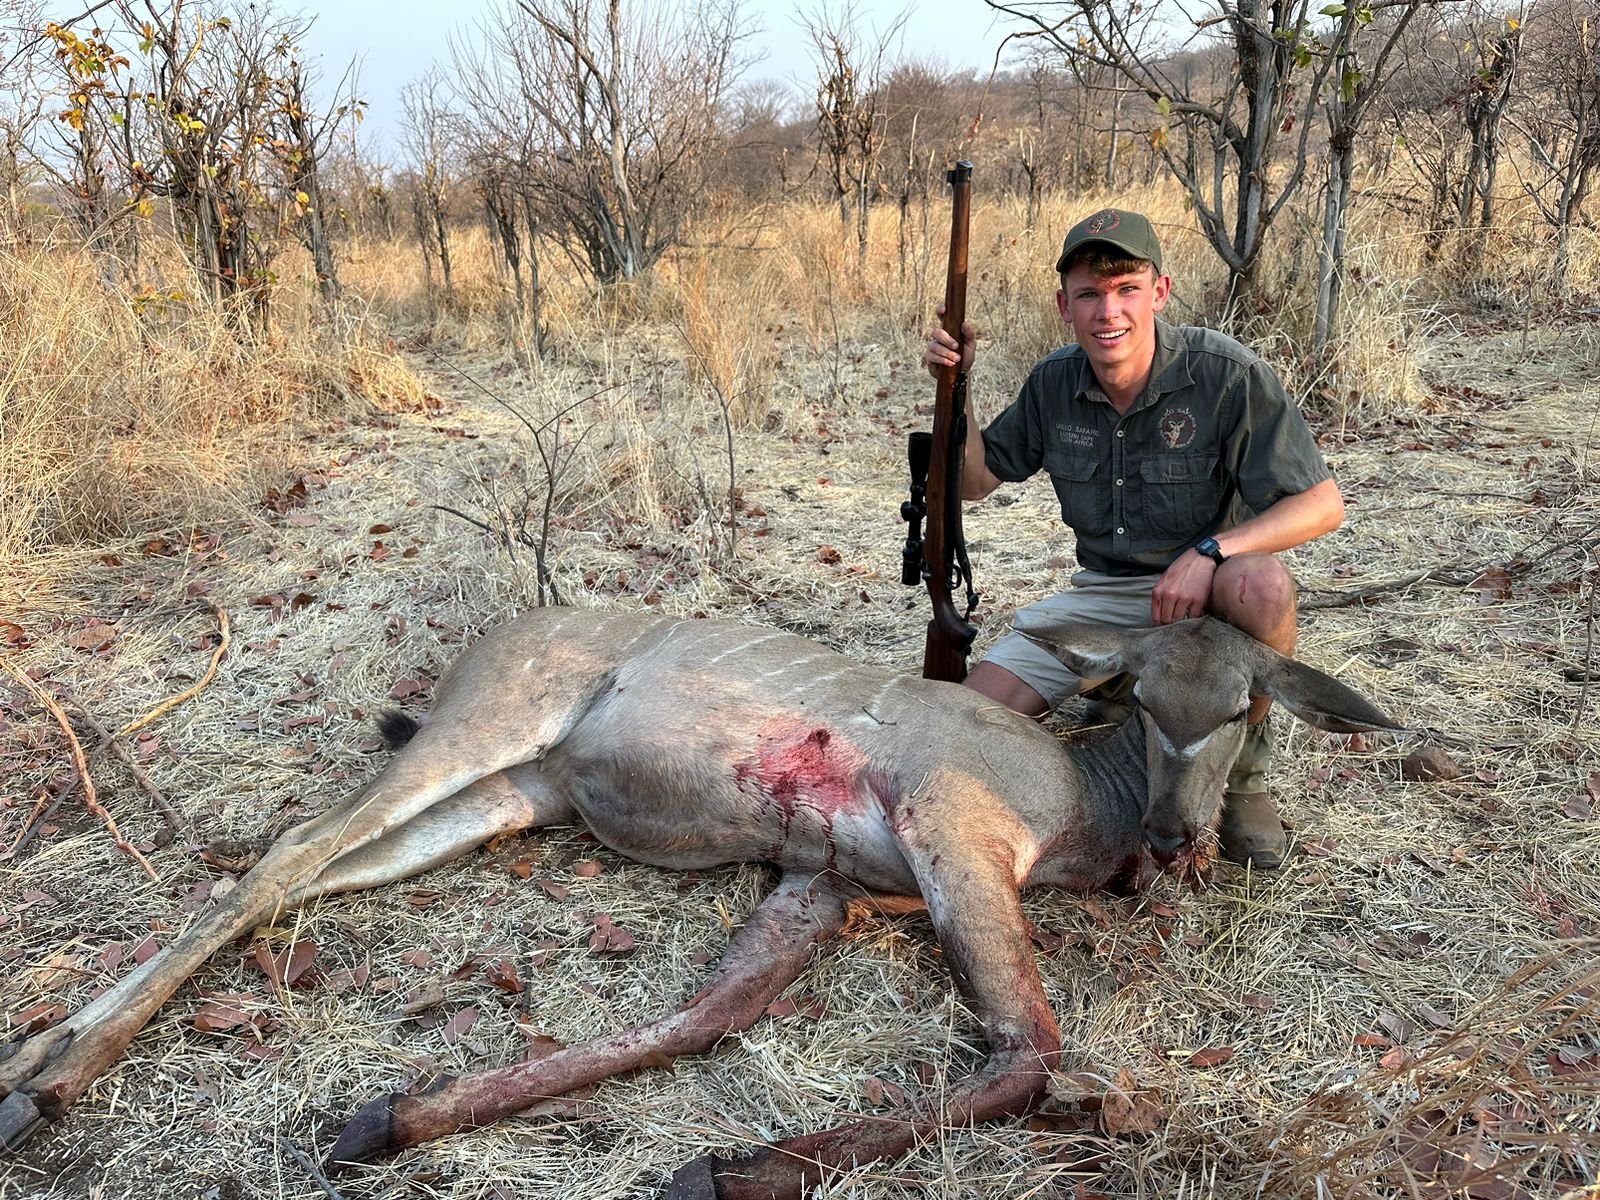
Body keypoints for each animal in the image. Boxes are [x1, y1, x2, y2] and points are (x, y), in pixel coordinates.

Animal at [0, 607, 1400, 1199]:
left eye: (1248, 706)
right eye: (1150, 700)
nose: (1178, 839)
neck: (1072, 808)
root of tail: (497, 633)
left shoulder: (821, 877)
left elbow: (702, 1018)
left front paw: (391, 1117)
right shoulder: (947, 825)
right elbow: (1031, 1051)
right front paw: (732, 1168)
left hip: (517, 795)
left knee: (302, 868)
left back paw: (35, 1052)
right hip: (493, 721)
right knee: (288, 850)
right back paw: (49, 1086)